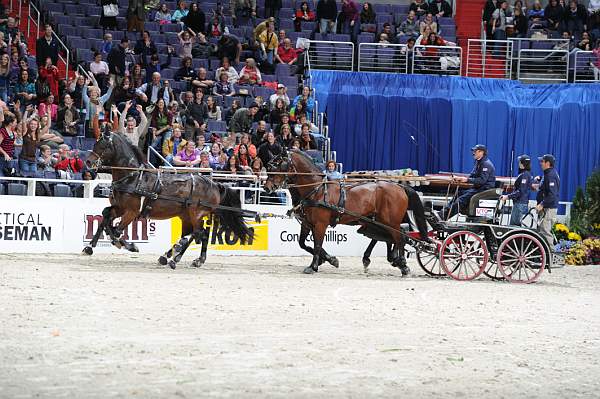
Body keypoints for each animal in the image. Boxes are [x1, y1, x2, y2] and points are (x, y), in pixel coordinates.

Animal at [84, 130, 253, 270]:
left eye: (103, 146)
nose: (88, 162)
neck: (132, 177)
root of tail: (214, 184)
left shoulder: (131, 211)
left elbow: (117, 231)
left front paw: (129, 246)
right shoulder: (119, 207)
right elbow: (106, 217)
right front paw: (90, 246)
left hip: (196, 213)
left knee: (198, 233)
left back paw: (176, 259)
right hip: (186, 216)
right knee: (196, 234)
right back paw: (177, 258)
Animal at [264, 150, 428, 276]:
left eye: (278, 165)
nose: (267, 187)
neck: (316, 189)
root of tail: (400, 187)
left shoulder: (320, 224)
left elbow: (317, 244)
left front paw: (313, 266)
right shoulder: (306, 223)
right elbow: (303, 243)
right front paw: (329, 259)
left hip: (390, 221)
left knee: (399, 238)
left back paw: (403, 265)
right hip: (378, 221)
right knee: (389, 237)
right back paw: (388, 260)